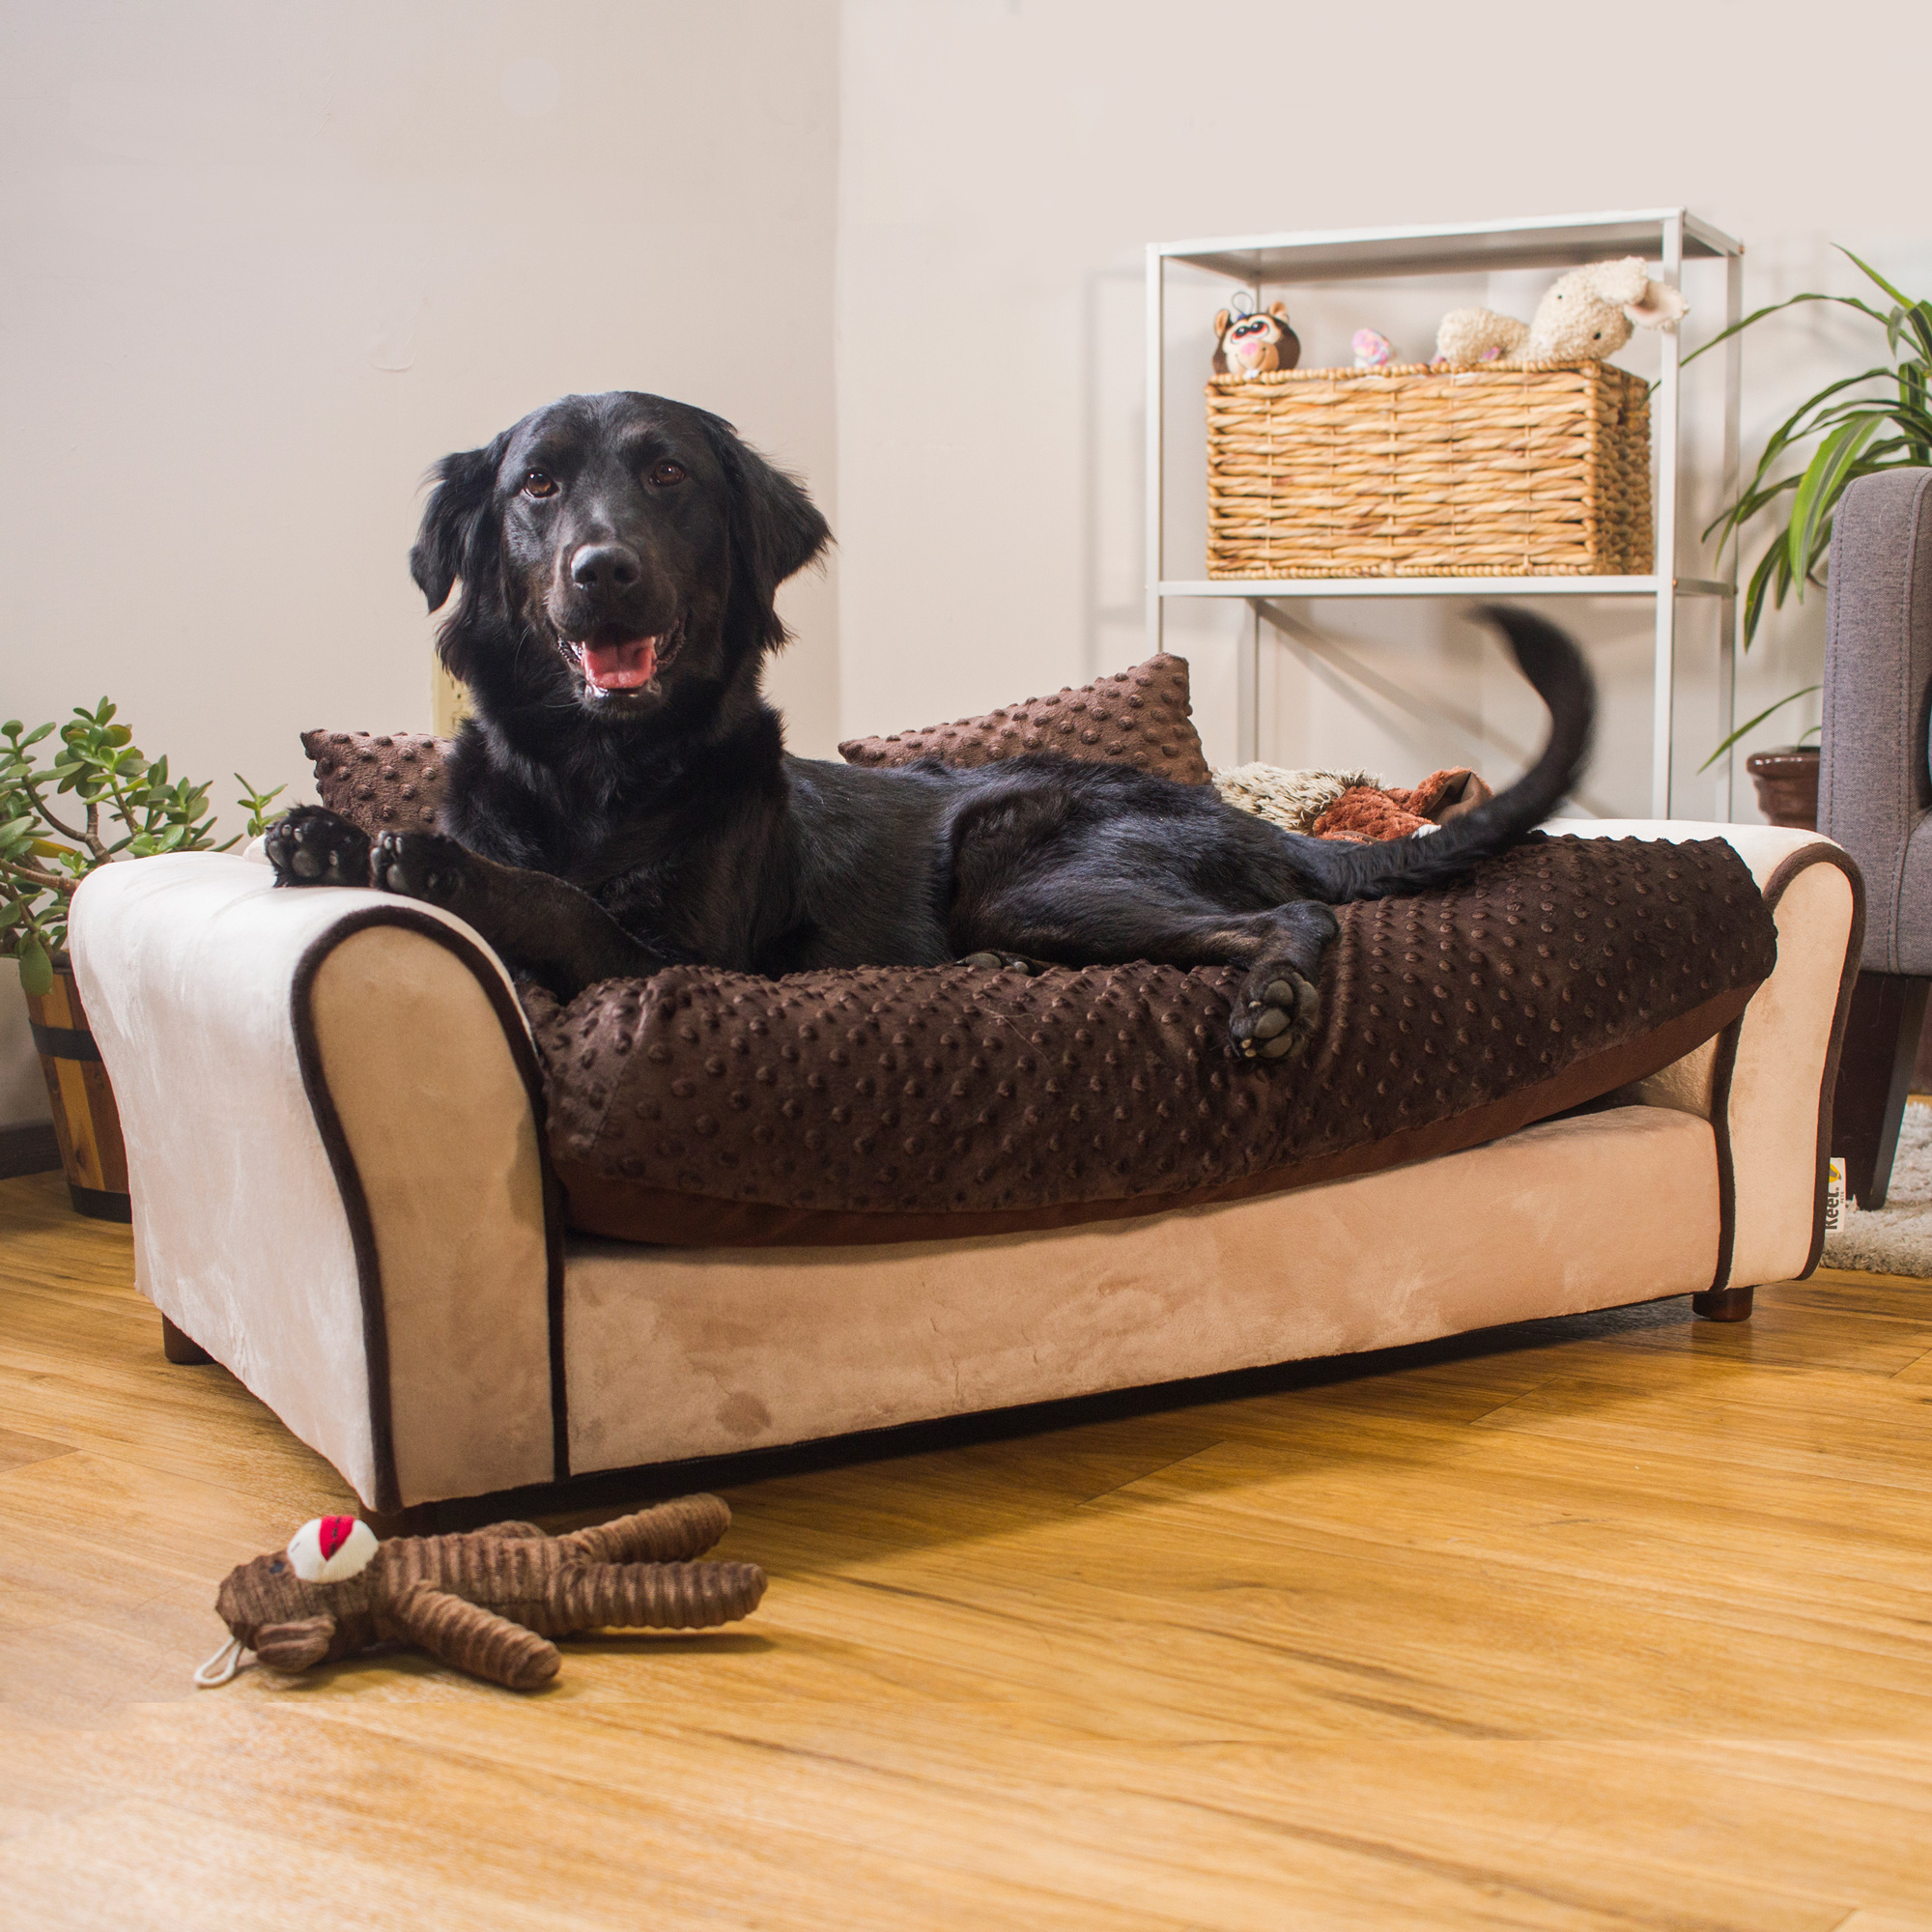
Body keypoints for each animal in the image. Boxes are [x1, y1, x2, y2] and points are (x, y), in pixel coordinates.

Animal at [272, 386, 1600, 1066]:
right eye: (536, 486)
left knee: (1291, 915)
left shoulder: (674, 958)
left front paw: (434, 865)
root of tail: (1237, 814)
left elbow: (555, 900)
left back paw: (1271, 996)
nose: (603, 574)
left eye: (667, 477)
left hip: (1038, 872)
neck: (598, 770)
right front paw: (321, 839)